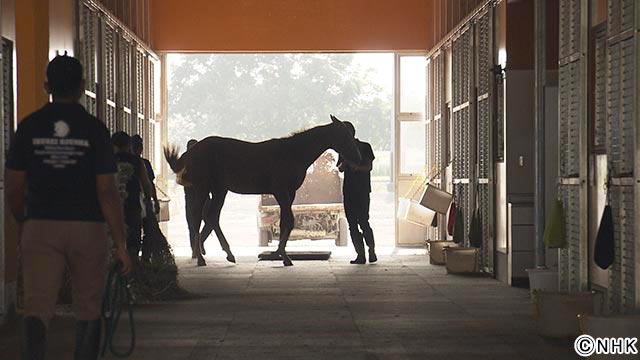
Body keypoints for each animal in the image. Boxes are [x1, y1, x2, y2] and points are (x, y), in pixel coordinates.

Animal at [162, 115, 362, 268]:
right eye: (345, 135)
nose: (358, 157)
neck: (293, 152)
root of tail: (191, 152)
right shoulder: (281, 191)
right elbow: (288, 221)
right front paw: (282, 256)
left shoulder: (289, 193)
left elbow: (286, 222)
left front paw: (280, 254)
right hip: (203, 189)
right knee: (196, 218)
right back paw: (201, 258)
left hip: (219, 190)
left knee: (211, 217)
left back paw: (228, 255)